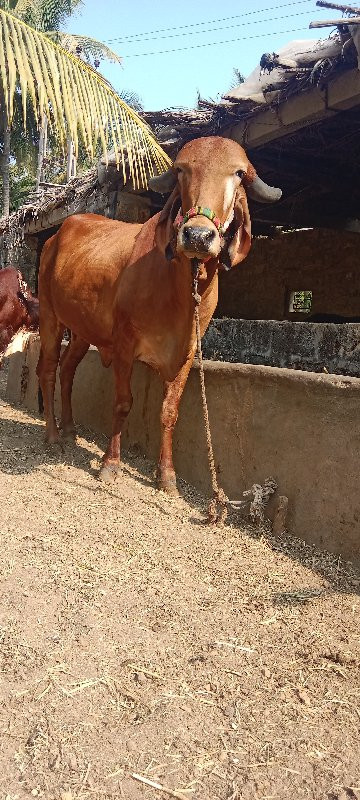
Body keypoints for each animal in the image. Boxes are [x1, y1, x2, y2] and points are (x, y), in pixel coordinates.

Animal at [37, 135, 282, 490]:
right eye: (180, 170)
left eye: (238, 173)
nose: (198, 236)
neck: (179, 290)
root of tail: (55, 236)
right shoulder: (124, 343)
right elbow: (123, 402)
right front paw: (110, 463)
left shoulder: (187, 353)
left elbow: (169, 411)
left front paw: (166, 474)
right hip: (49, 316)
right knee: (47, 370)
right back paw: (54, 435)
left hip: (82, 330)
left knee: (67, 370)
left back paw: (69, 430)